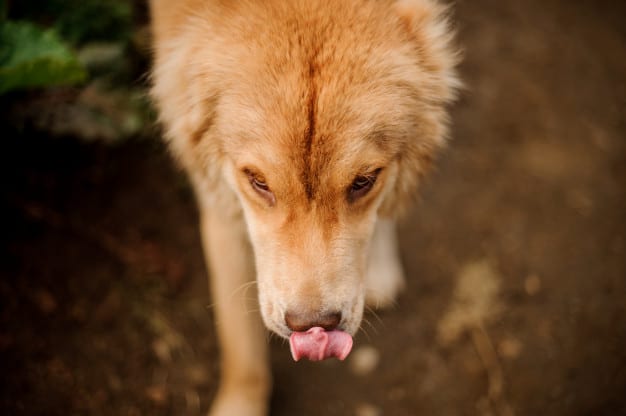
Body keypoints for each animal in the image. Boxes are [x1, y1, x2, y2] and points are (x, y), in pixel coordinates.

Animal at [148, 0, 456, 412]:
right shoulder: (221, 206)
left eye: (364, 181)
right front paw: (239, 403)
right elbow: (240, 341)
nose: (314, 328)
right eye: (258, 182)